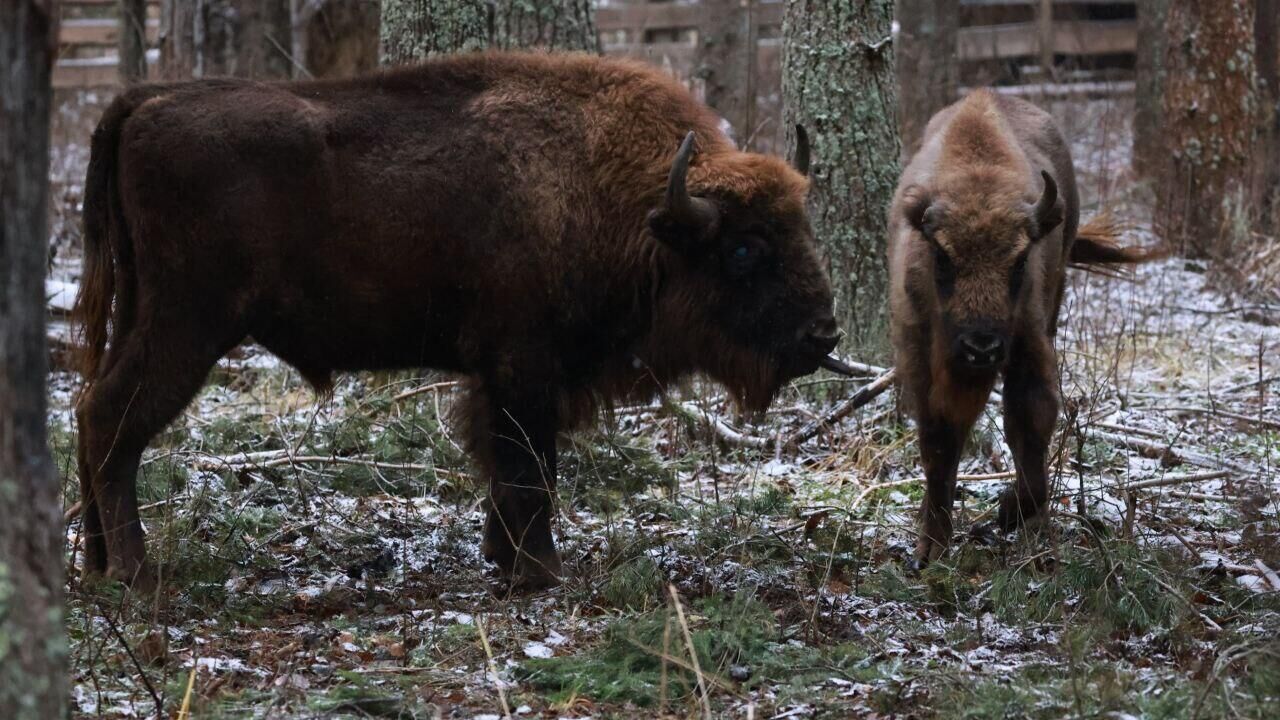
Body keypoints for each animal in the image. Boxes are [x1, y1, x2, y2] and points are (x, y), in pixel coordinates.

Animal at [70, 50, 849, 589]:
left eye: (804, 227)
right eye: (745, 249)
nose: (824, 335)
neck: (636, 208)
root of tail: (145, 100)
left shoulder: (498, 376)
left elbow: (507, 467)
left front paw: (505, 561)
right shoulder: (524, 367)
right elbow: (530, 469)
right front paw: (539, 573)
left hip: (142, 310)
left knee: (86, 410)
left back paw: (96, 562)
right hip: (188, 324)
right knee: (113, 417)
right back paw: (136, 572)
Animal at [890, 88, 1162, 566]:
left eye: (1019, 261)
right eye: (942, 256)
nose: (981, 347)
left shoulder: (1028, 347)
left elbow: (1030, 430)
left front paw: (1008, 513)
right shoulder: (921, 360)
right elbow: (938, 445)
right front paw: (931, 549)